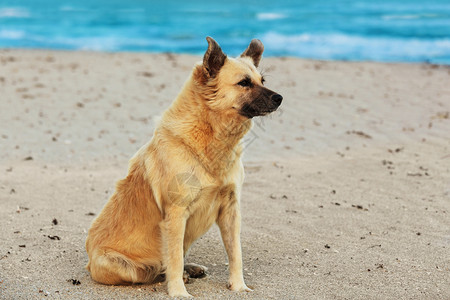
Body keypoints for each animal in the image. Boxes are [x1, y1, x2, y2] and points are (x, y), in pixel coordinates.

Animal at [85, 36, 282, 296]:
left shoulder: (231, 210)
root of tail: (89, 261)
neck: (209, 138)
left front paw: (238, 286)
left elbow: (236, 254)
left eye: (262, 81)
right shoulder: (176, 214)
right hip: (120, 265)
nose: (280, 98)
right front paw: (178, 292)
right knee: (157, 267)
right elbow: (175, 260)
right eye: (244, 83)